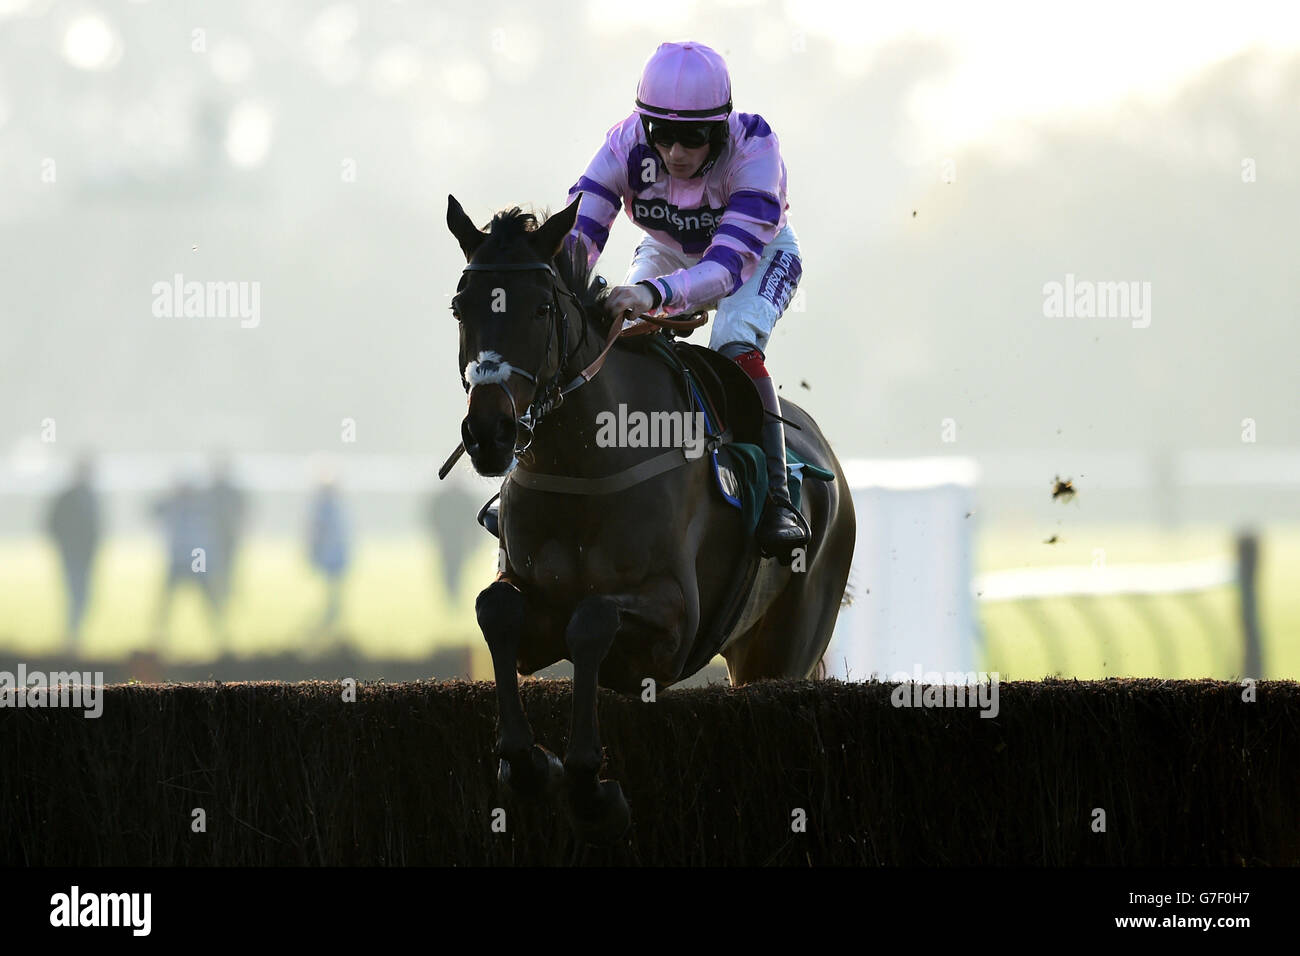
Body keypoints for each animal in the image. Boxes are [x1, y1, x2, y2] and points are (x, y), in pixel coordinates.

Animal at [446, 194, 856, 843]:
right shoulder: (532, 606)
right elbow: (498, 610)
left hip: (781, 652)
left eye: (541, 308)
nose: (490, 433)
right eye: (461, 306)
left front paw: (590, 787)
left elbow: (590, 620)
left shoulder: (673, 625)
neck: (585, 467)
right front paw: (529, 762)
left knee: (744, 348)